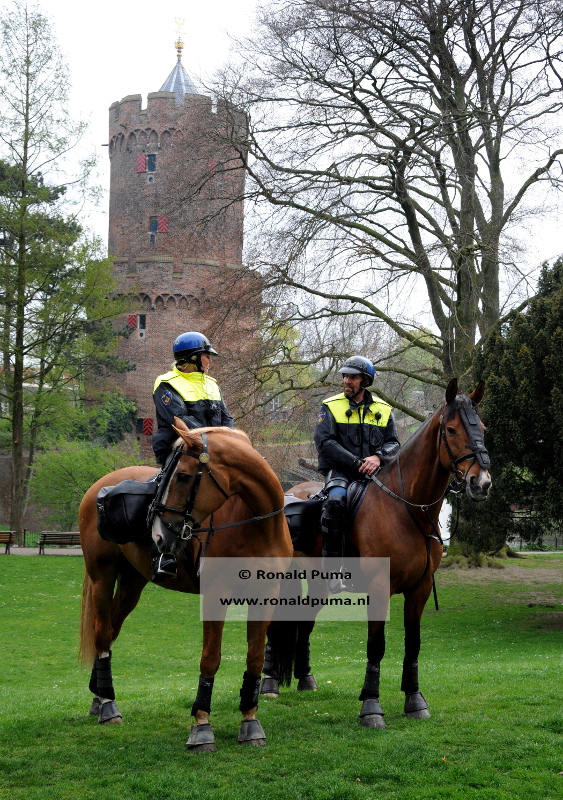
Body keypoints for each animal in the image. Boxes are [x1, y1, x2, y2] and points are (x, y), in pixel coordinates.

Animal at [79, 422, 293, 752]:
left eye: (182, 476)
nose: (157, 534)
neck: (258, 525)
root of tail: (97, 488)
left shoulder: (265, 598)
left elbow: (255, 658)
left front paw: (250, 720)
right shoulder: (216, 598)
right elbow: (210, 659)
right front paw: (201, 725)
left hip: (131, 585)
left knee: (111, 632)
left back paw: (99, 694)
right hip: (102, 577)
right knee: (102, 634)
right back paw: (108, 705)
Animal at [261, 379, 492, 728]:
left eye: (483, 428)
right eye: (451, 430)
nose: (482, 482)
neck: (406, 509)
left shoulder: (420, 589)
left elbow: (413, 644)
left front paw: (414, 700)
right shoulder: (380, 589)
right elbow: (376, 646)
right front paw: (371, 706)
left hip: (318, 583)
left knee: (305, 619)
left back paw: (305, 677)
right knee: (275, 623)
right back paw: (269, 682)